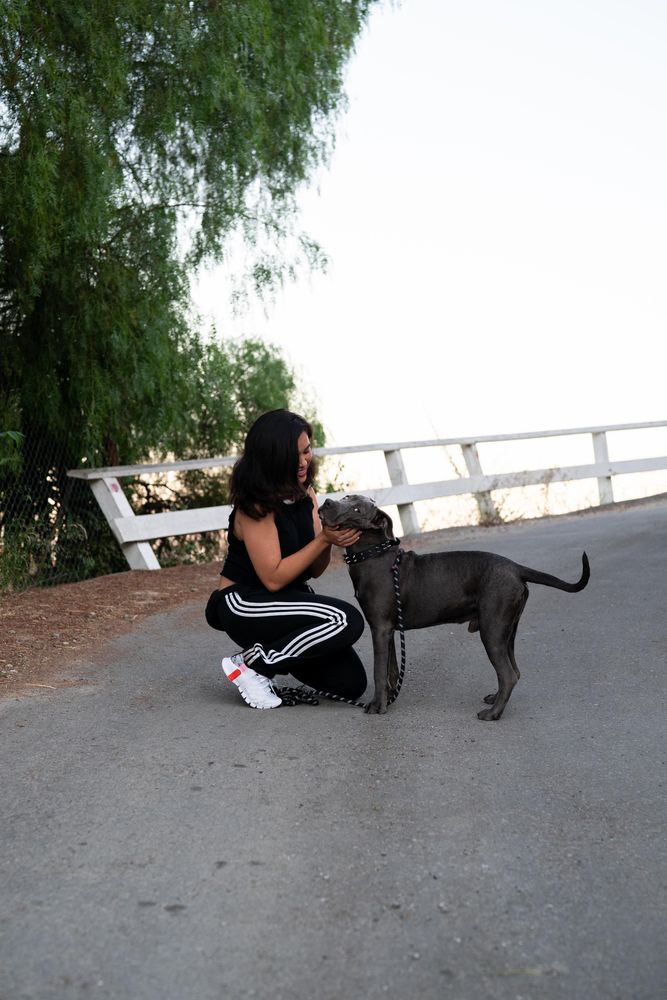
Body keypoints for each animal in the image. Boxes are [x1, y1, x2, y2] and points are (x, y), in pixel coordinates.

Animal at [318, 496, 588, 724]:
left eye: (357, 509)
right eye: (346, 497)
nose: (327, 501)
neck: (372, 555)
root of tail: (515, 568)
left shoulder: (380, 629)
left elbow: (378, 671)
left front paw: (377, 706)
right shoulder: (388, 629)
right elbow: (391, 670)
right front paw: (390, 698)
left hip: (492, 630)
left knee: (509, 674)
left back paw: (493, 714)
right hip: (508, 630)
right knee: (514, 671)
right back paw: (495, 700)